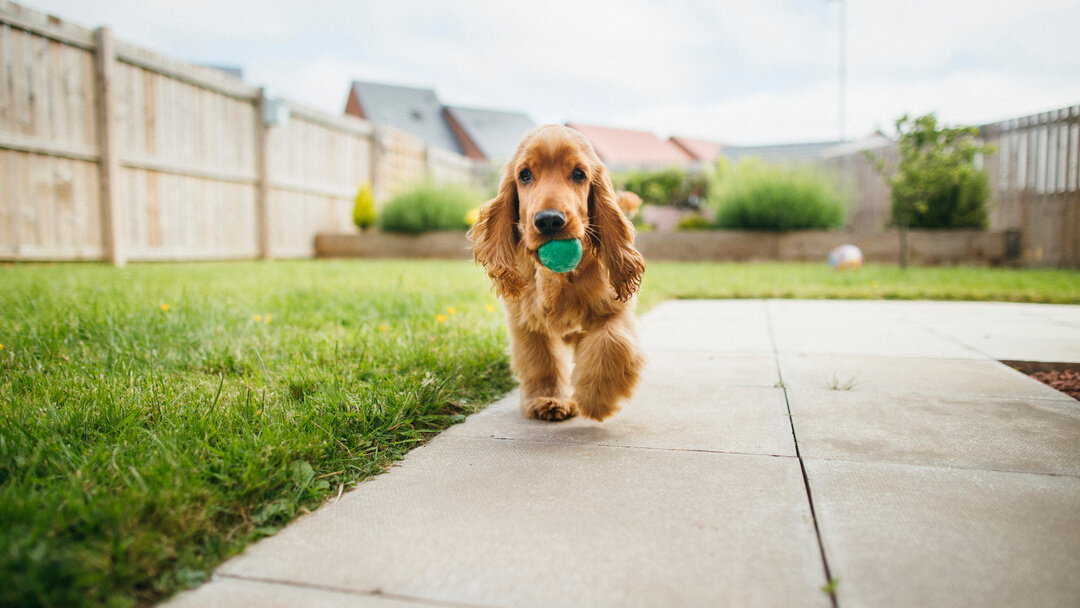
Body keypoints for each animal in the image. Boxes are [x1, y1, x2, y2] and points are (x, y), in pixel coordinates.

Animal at [468, 125, 643, 421]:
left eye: (579, 174)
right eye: (525, 175)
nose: (549, 220)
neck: (559, 277)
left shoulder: (614, 308)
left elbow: (612, 343)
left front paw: (596, 397)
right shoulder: (526, 319)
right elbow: (542, 359)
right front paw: (549, 398)